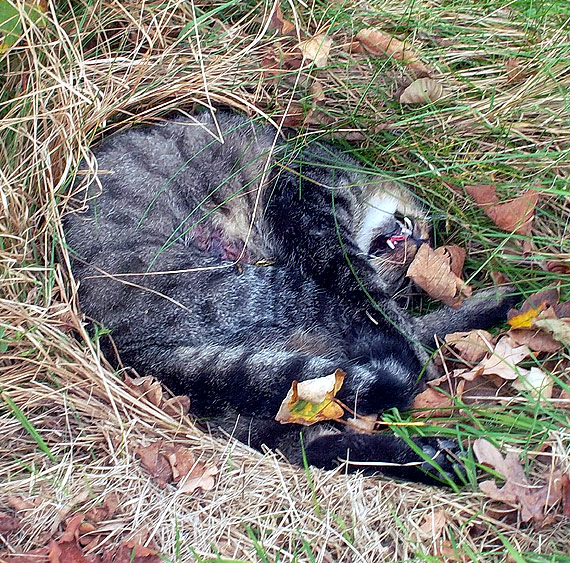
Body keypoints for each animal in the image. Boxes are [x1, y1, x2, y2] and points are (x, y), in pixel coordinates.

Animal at [63, 110, 516, 484]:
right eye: (407, 271)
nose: (416, 244)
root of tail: (120, 343)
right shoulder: (307, 207)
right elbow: (377, 301)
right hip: (266, 290)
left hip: (259, 383)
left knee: (315, 443)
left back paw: (440, 460)